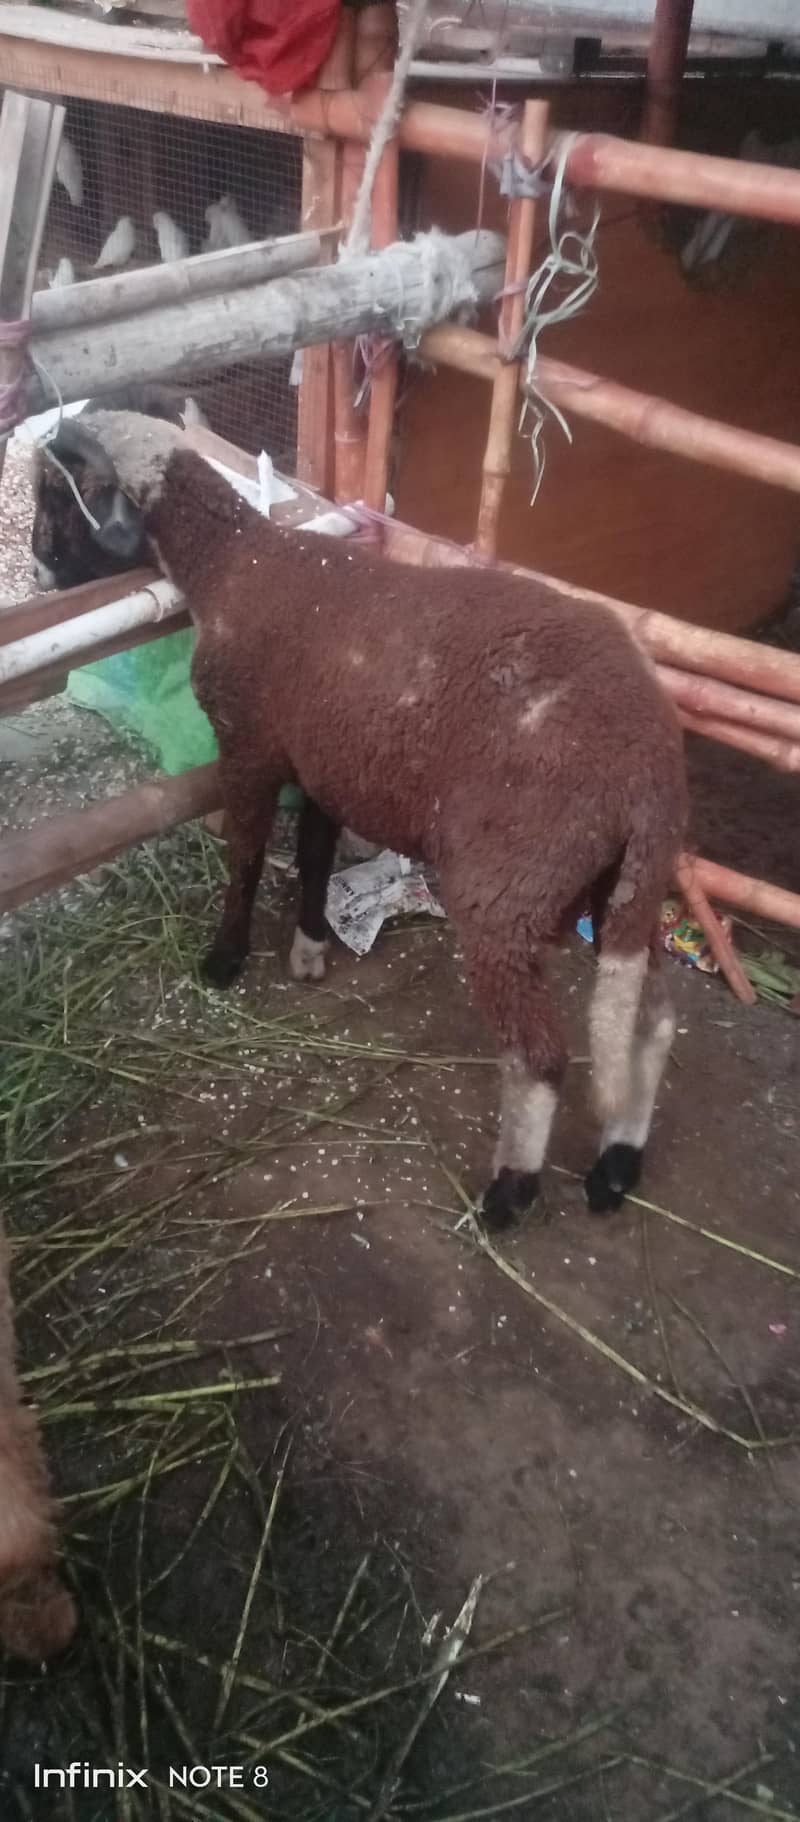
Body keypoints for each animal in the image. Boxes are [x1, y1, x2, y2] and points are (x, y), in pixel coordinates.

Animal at [32, 409, 688, 1227]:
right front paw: (311, 945)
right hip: (624, 883)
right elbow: (315, 853)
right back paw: (618, 1163)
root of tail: (651, 771)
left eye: (55, 494)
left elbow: (246, 855)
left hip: (508, 886)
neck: (233, 562)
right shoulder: (323, 763)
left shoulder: (249, 745)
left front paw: (224, 959)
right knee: (653, 1021)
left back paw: (510, 1193)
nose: (38, 567)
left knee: (539, 1058)